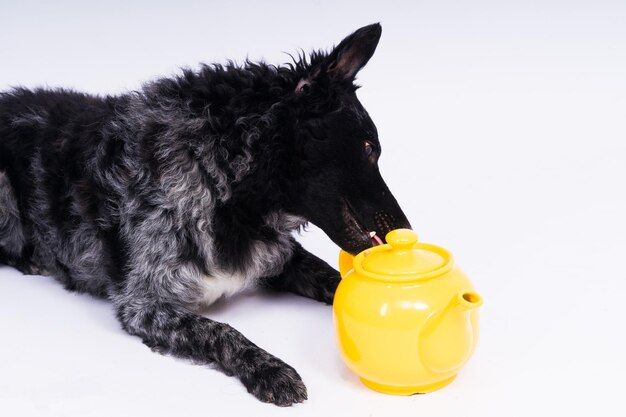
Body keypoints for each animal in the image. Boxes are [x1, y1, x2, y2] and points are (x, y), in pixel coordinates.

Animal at [0, 24, 410, 404]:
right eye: (369, 147)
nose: (406, 230)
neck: (221, 175)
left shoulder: (279, 256)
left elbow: (334, 279)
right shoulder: (145, 303)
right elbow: (222, 331)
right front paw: (271, 370)